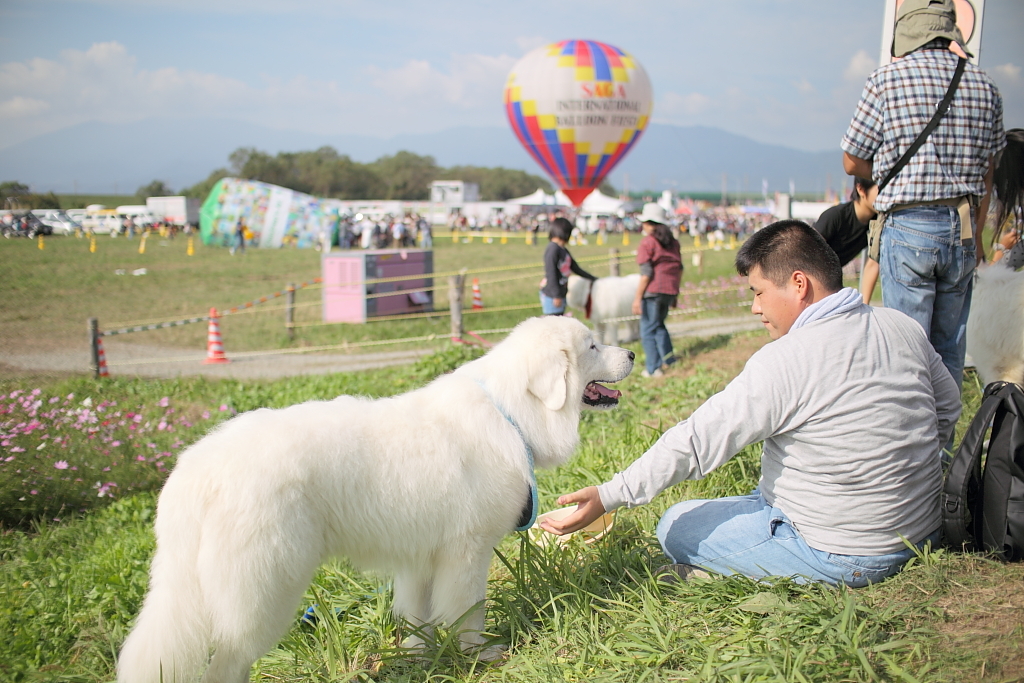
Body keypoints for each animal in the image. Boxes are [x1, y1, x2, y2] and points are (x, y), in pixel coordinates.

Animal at [117, 317, 630, 679]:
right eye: (591, 346)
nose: (629, 352)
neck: (509, 411)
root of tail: (195, 470)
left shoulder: (422, 558)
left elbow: (419, 617)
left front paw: (419, 658)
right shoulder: (466, 553)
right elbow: (468, 612)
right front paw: (481, 656)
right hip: (266, 589)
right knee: (228, 661)